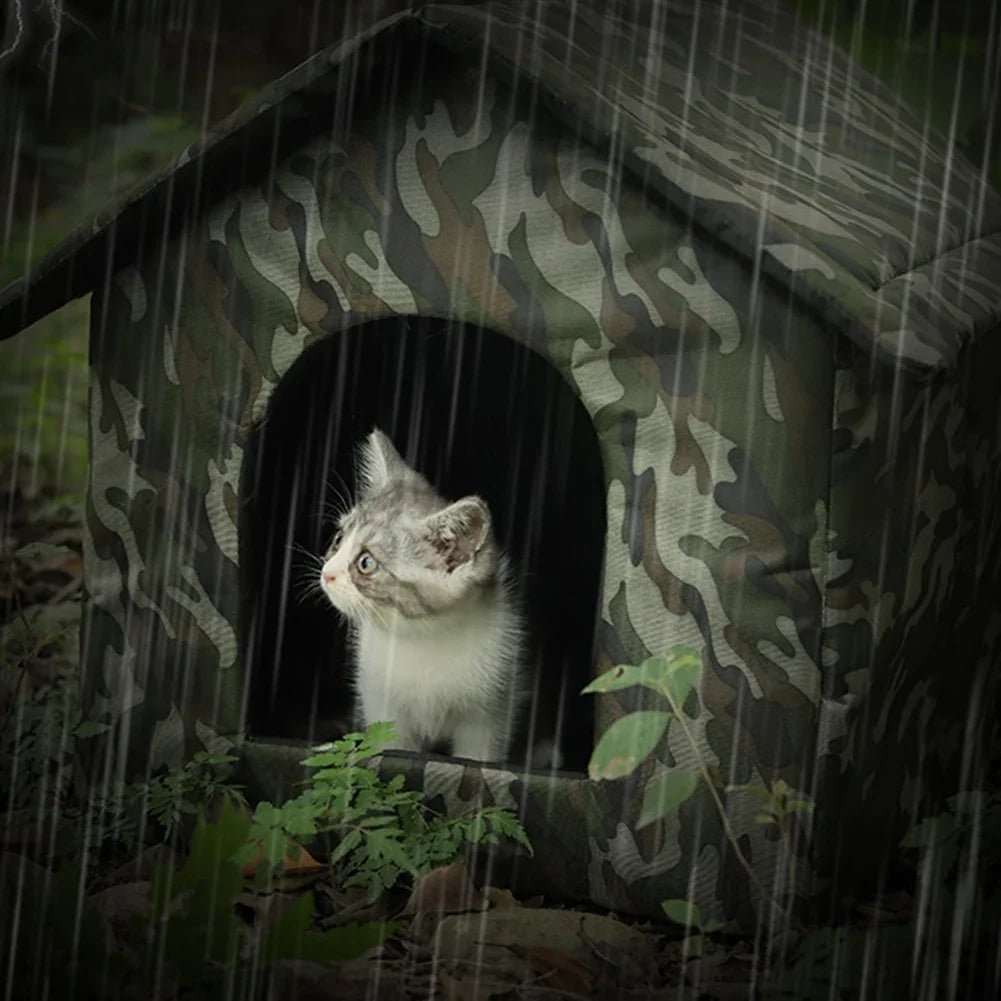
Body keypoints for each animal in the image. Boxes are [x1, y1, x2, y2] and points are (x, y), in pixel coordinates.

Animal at [320, 426, 528, 760]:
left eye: (366, 563)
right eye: (339, 539)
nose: (327, 573)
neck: (422, 635)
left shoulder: (492, 707)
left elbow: (478, 757)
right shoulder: (382, 702)